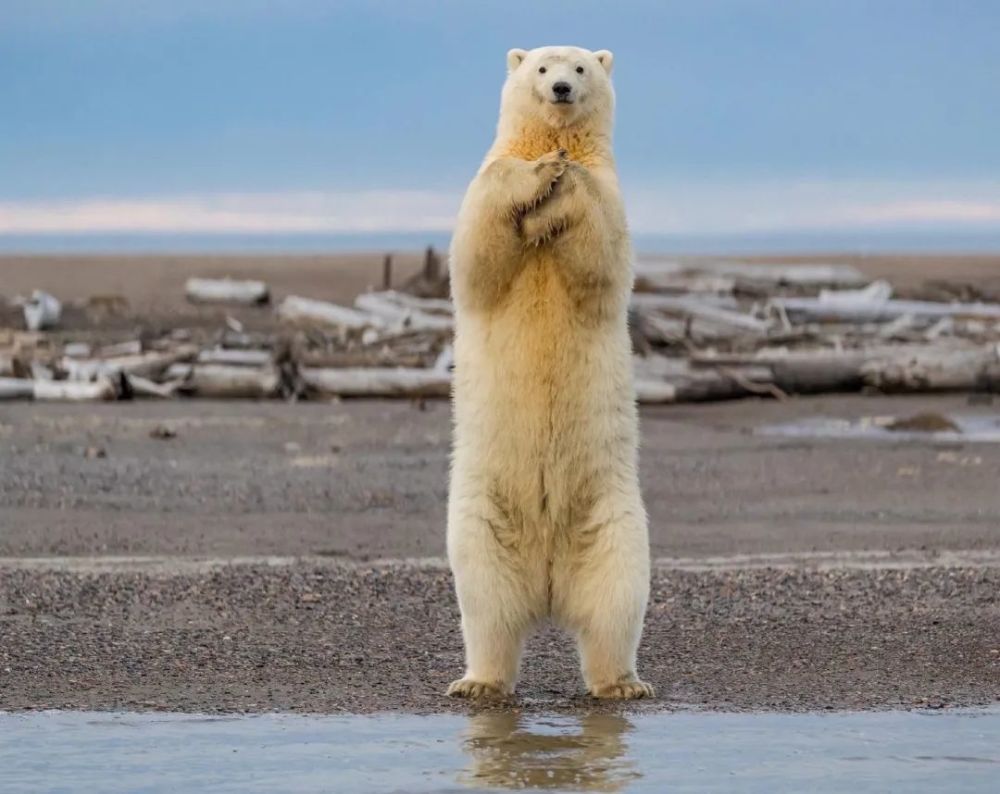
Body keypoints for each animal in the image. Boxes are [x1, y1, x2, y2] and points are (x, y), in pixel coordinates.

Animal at [448, 46, 652, 696]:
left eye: (581, 68)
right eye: (541, 68)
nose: (561, 88)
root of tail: (548, 586)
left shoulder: (613, 197)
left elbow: (601, 251)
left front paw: (564, 181)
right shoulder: (486, 180)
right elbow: (479, 249)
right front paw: (543, 174)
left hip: (613, 519)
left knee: (615, 603)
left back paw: (622, 682)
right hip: (481, 517)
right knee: (486, 606)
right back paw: (478, 682)